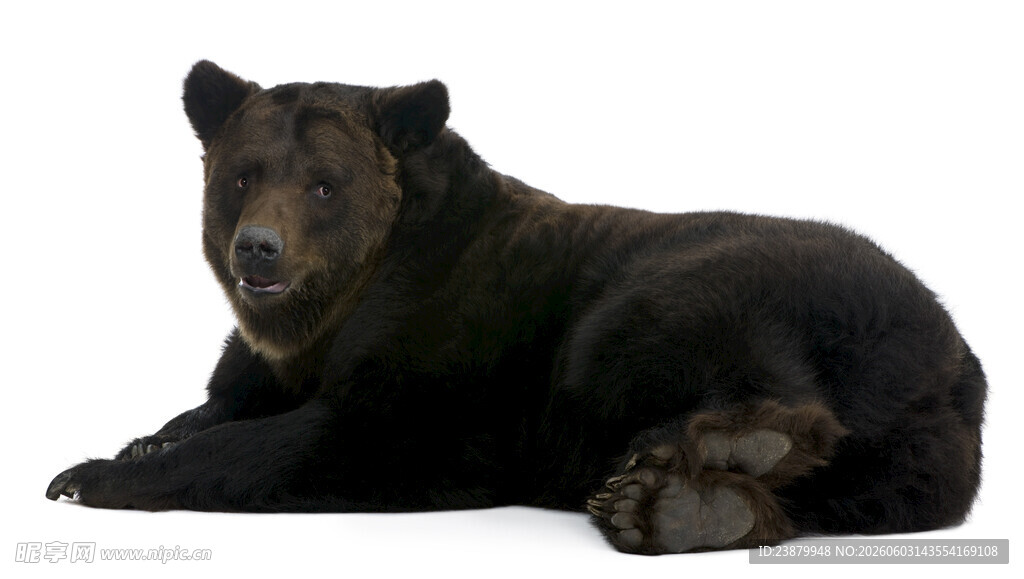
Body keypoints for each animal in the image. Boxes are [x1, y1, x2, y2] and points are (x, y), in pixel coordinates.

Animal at [46, 60, 986, 555]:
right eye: (242, 175)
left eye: (323, 184)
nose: (258, 249)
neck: (329, 316)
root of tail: (956, 354)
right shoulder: (266, 363)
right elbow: (214, 404)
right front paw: (136, 441)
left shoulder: (451, 348)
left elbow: (333, 435)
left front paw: (91, 474)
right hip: (913, 459)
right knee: (868, 493)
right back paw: (686, 503)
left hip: (735, 285)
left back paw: (712, 455)